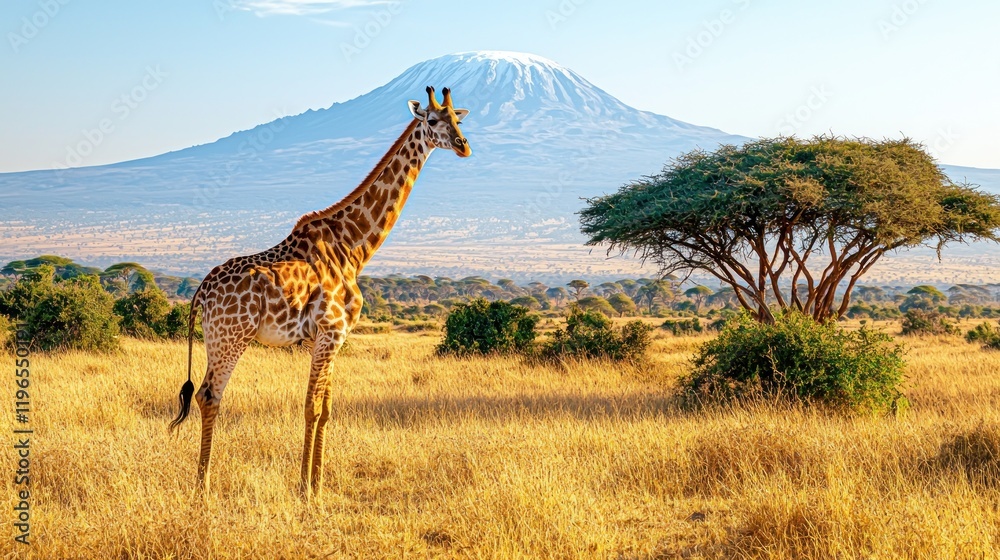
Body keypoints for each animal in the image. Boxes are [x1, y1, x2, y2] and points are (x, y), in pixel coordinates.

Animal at [168, 86, 471, 497]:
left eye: (459, 118)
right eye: (434, 120)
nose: (463, 146)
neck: (354, 247)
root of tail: (201, 292)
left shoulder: (329, 338)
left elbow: (325, 410)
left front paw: (319, 482)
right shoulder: (331, 331)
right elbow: (311, 407)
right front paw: (305, 489)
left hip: (219, 338)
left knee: (204, 395)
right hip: (231, 337)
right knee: (208, 395)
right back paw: (203, 484)